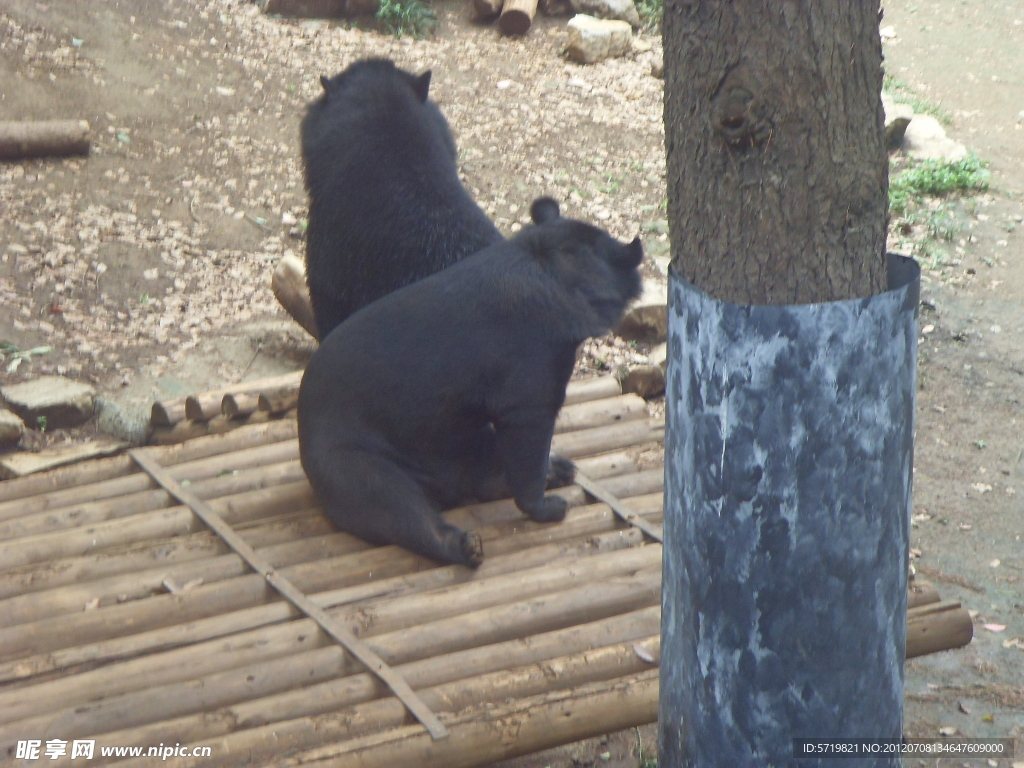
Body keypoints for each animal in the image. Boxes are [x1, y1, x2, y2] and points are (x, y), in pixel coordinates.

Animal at [296, 198, 643, 569]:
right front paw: (547, 508)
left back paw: (558, 469)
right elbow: (531, 422)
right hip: (348, 459)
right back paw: (466, 545)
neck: (554, 266)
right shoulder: (533, 358)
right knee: (394, 505)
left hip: (458, 439)